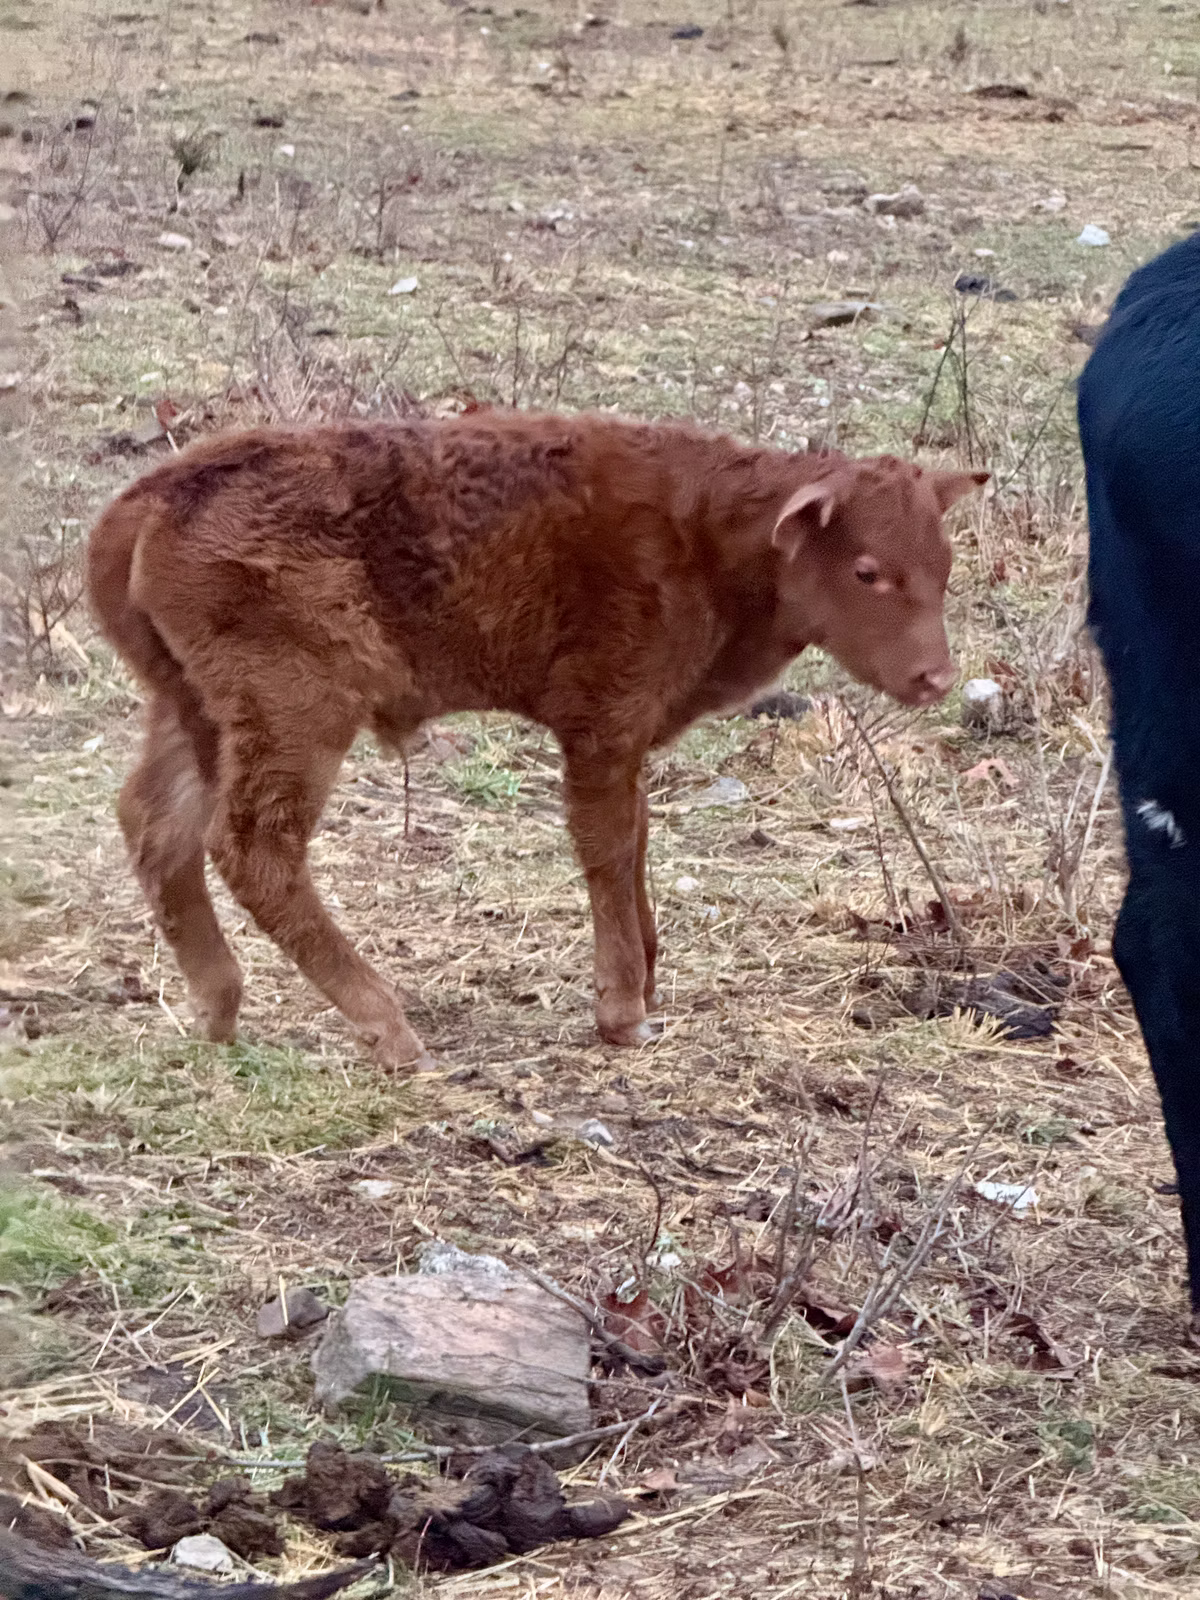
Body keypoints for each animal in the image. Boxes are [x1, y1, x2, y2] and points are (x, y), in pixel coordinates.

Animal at [86, 410, 986, 1071]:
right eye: (867, 570)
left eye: (944, 567)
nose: (934, 677)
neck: (709, 534)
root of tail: (150, 498)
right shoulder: (602, 723)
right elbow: (608, 847)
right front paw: (623, 1011)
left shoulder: (629, 736)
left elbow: (637, 838)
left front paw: (648, 978)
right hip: (295, 712)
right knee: (252, 845)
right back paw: (389, 1028)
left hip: (195, 710)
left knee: (155, 824)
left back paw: (219, 1009)